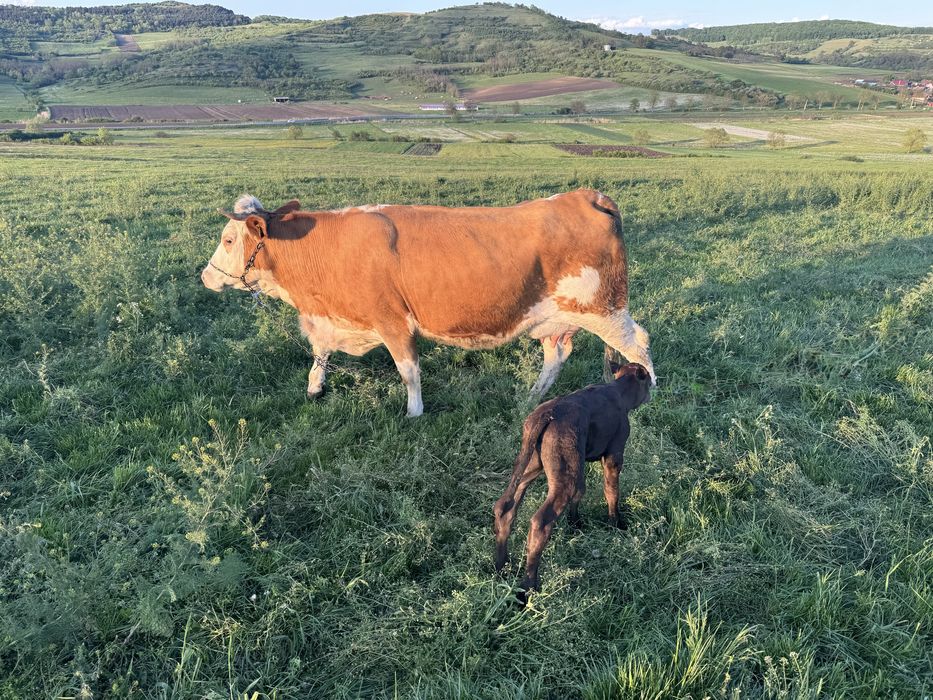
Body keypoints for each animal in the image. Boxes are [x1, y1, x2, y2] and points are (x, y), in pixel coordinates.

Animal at [200, 190, 655, 417]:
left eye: (228, 239)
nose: (205, 276)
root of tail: (586, 194)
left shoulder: (392, 320)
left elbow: (408, 372)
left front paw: (414, 413)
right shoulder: (333, 318)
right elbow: (320, 352)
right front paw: (314, 388)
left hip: (605, 308)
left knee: (639, 344)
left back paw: (648, 395)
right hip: (560, 318)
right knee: (557, 355)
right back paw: (531, 398)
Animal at [493, 362, 652, 596]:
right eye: (648, 380)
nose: (651, 392)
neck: (619, 390)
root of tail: (547, 414)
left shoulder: (579, 465)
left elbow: (581, 492)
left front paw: (575, 524)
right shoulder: (614, 456)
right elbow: (611, 492)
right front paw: (615, 524)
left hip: (530, 466)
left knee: (506, 507)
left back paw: (501, 567)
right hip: (562, 479)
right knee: (540, 522)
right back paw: (528, 587)